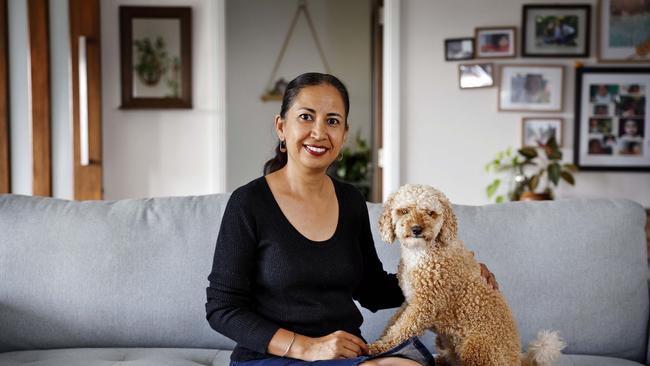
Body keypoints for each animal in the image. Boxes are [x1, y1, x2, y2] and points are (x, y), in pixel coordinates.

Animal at [368, 184, 564, 366]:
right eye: (404, 211)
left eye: (431, 213)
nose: (417, 229)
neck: (422, 253)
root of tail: (517, 361)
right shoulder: (409, 302)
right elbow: (393, 324)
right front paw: (379, 341)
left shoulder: (424, 306)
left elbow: (401, 331)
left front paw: (377, 348)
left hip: (476, 347)